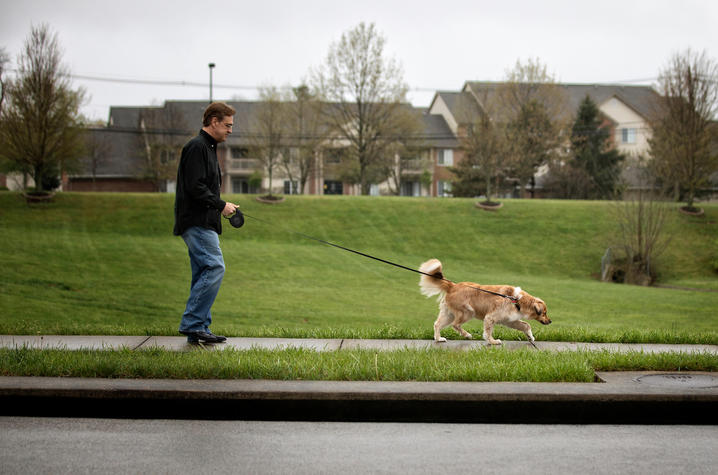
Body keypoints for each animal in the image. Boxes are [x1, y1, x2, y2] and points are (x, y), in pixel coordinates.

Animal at [420, 258, 556, 344]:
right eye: (544, 313)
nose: (550, 321)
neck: (517, 300)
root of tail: (453, 286)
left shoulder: (509, 320)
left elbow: (526, 325)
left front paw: (530, 337)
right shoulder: (490, 317)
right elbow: (488, 332)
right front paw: (492, 342)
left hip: (449, 313)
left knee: (437, 324)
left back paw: (439, 339)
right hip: (467, 312)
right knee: (455, 324)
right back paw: (467, 335)